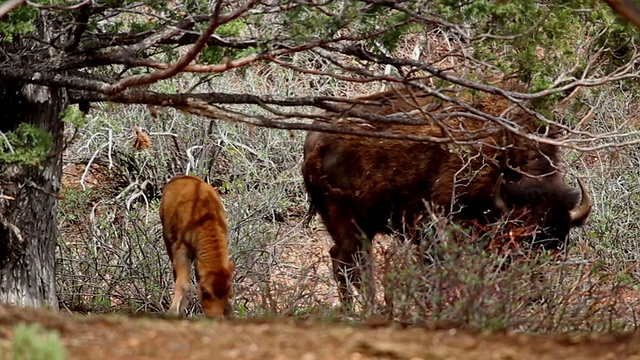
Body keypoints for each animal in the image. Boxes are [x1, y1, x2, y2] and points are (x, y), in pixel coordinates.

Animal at [159, 174, 234, 318]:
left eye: (228, 293)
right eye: (206, 292)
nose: (215, 317)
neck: (206, 219)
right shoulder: (181, 249)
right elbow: (183, 283)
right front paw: (173, 312)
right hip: (168, 240)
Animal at [302, 81, 592, 306]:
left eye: (559, 248)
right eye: (518, 244)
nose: (535, 296)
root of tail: (315, 140)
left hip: (363, 227)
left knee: (347, 262)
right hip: (349, 223)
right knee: (348, 265)